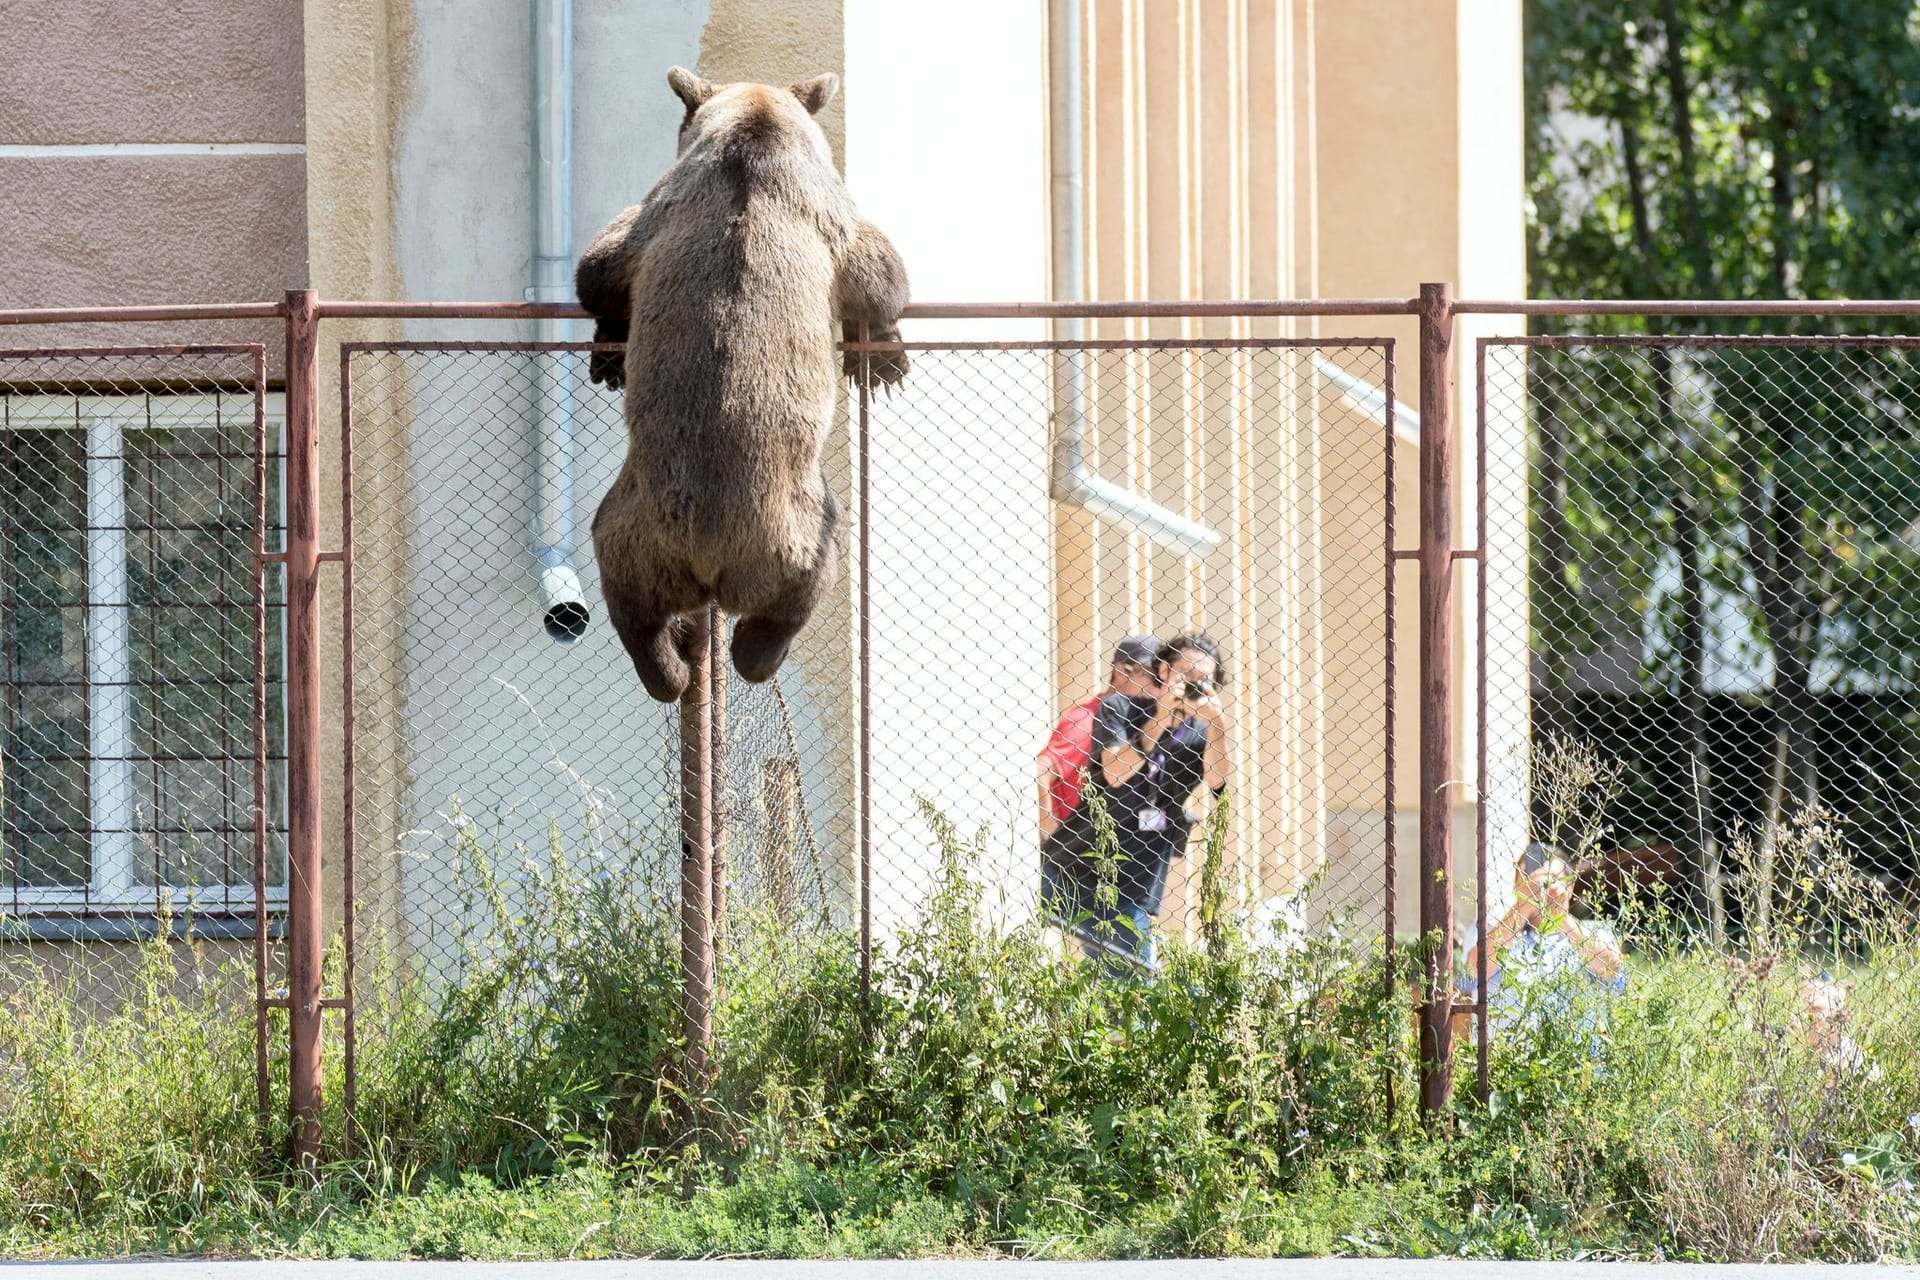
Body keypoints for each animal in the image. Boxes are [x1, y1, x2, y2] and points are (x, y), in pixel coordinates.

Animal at [576, 65, 906, 706]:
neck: (755, 127)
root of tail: (707, 564)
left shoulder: (657, 221)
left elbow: (599, 271)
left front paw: (610, 354)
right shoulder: (819, 211)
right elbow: (879, 269)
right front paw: (884, 357)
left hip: (633, 524)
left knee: (630, 602)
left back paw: (669, 665)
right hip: (788, 529)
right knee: (810, 576)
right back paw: (752, 651)